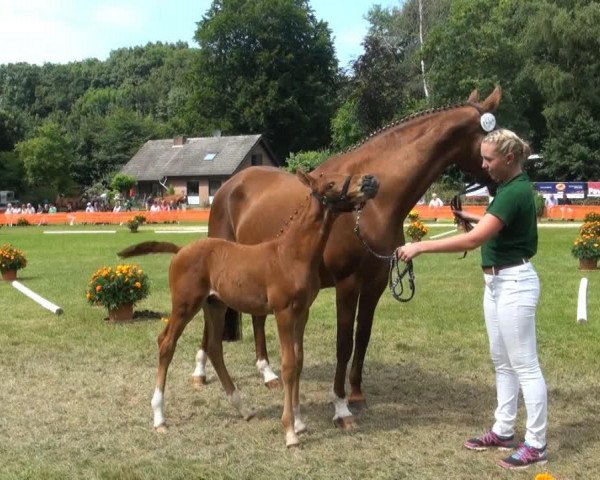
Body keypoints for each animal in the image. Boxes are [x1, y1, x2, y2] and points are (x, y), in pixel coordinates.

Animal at [119, 171, 378, 448]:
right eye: (330, 183)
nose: (368, 182)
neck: (291, 254)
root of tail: (181, 251)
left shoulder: (302, 312)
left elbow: (298, 361)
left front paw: (299, 421)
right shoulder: (284, 311)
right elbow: (288, 365)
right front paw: (290, 432)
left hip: (215, 306)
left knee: (214, 348)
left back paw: (243, 408)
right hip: (184, 305)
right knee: (166, 343)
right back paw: (159, 418)